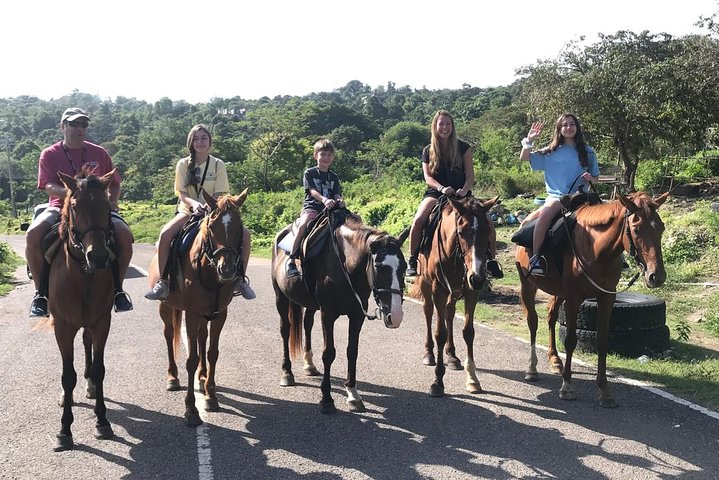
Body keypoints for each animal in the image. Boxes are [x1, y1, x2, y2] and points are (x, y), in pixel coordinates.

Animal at [146, 188, 248, 424]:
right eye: (211, 226)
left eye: (239, 227)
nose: (227, 270)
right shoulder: (191, 313)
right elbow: (191, 359)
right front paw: (191, 409)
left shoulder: (220, 313)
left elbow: (212, 352)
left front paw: (210, 396)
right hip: (166, 307)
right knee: (169, 334)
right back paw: (172, 377)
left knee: (202, 336)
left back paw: (202, 377)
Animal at [274, 208, 410, 414]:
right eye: (379, 267)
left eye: (404, 266)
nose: (396, 316)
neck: (345, 266)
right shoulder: (327, 314)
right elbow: (329, 353)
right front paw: (327, 399)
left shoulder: (357, 315)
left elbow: (352, 351)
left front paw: (353, 394)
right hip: (280, 298)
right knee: (285, 331)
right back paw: (287, 373)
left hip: (310, 305)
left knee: (307, 324)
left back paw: (309, 365)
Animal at [414, 195, 498, 398]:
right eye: (461, 232)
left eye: (487, 231)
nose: (477, 277)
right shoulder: (438, 290)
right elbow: (440, 333)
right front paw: (437, 382)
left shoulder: (471, 292)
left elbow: (468, 332)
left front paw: (472, 379)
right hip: (425, 284)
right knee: (428, 312)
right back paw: (429, 354)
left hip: (454, 291)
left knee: (449, 314)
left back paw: (451, 355)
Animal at [516, 189, 668, 406]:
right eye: (637, 229)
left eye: (661, 228)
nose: (657, 276)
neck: (596, 249)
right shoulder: (573, 298)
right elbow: (571, 340)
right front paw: (567, 387)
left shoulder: (606, 298)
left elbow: (603, 341)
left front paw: (605, 391)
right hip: (527, 285)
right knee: (533, 322)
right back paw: (532, 369)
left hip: (558, 292)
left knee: (551, 317)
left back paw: (555, 360)